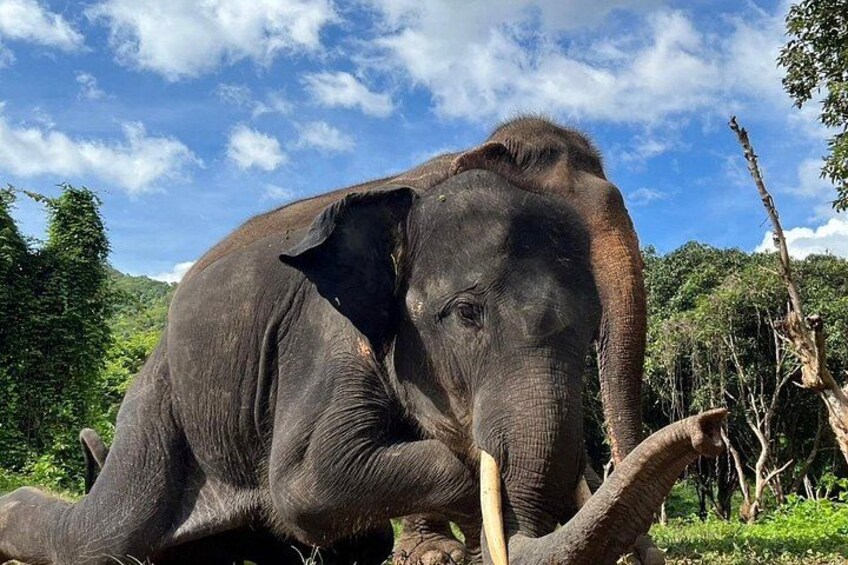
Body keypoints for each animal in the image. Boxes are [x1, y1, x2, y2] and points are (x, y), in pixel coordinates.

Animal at [0, 169, 725, 565]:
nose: (712, 423)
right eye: (467, 313)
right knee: (104, 533)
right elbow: (305, 483)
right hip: (159, 401)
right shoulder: (321, 341)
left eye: (588, 335)